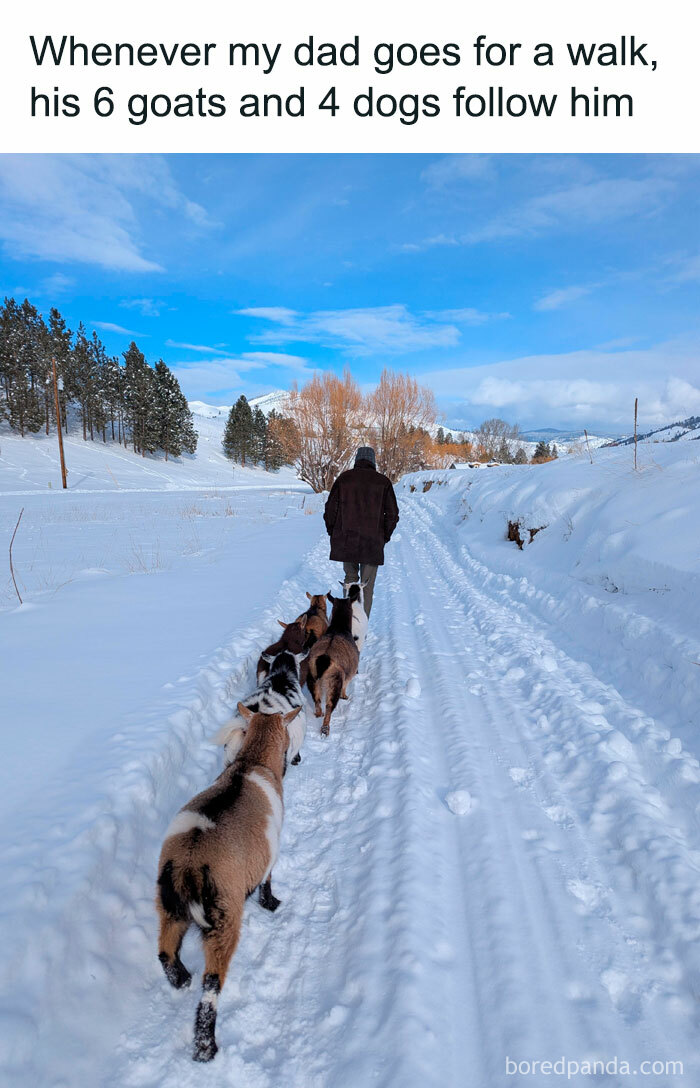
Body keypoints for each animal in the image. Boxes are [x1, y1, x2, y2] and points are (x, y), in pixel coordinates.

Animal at [156, 703, 300, 1062]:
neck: (252, 762)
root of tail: (189, 863)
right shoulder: (269, 853)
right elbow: (267, 881)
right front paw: (272, 904)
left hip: (167, 905)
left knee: (165, 951)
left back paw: (181, 980)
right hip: (224, 916)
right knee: (212, 985)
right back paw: (206, 1047)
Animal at [306, 593, 359, 736]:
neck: (339, 627)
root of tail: (324, 659)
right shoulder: (349, 674)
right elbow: (346, 685)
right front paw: (345, 696)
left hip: (312, 676)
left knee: (317, 699)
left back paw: (318, 714)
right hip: (334, 681)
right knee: (329, 705)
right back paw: (325, 728)